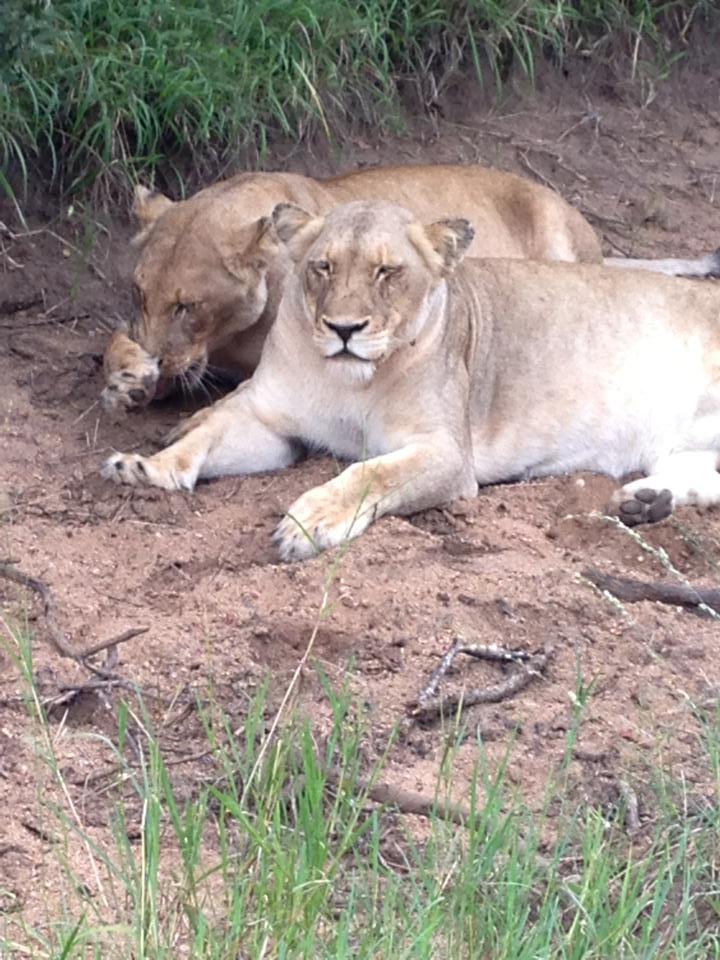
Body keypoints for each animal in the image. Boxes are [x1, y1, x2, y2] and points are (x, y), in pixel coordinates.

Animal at [102, 201, 720, 564]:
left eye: (387, 272)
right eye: (323, 266)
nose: (344, 328)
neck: (348, 381)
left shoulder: (446, 451)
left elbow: (368, 473)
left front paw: (309, 522)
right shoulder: (272, 424)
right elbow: (203, 438)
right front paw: (145, 469)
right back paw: (647, 502)